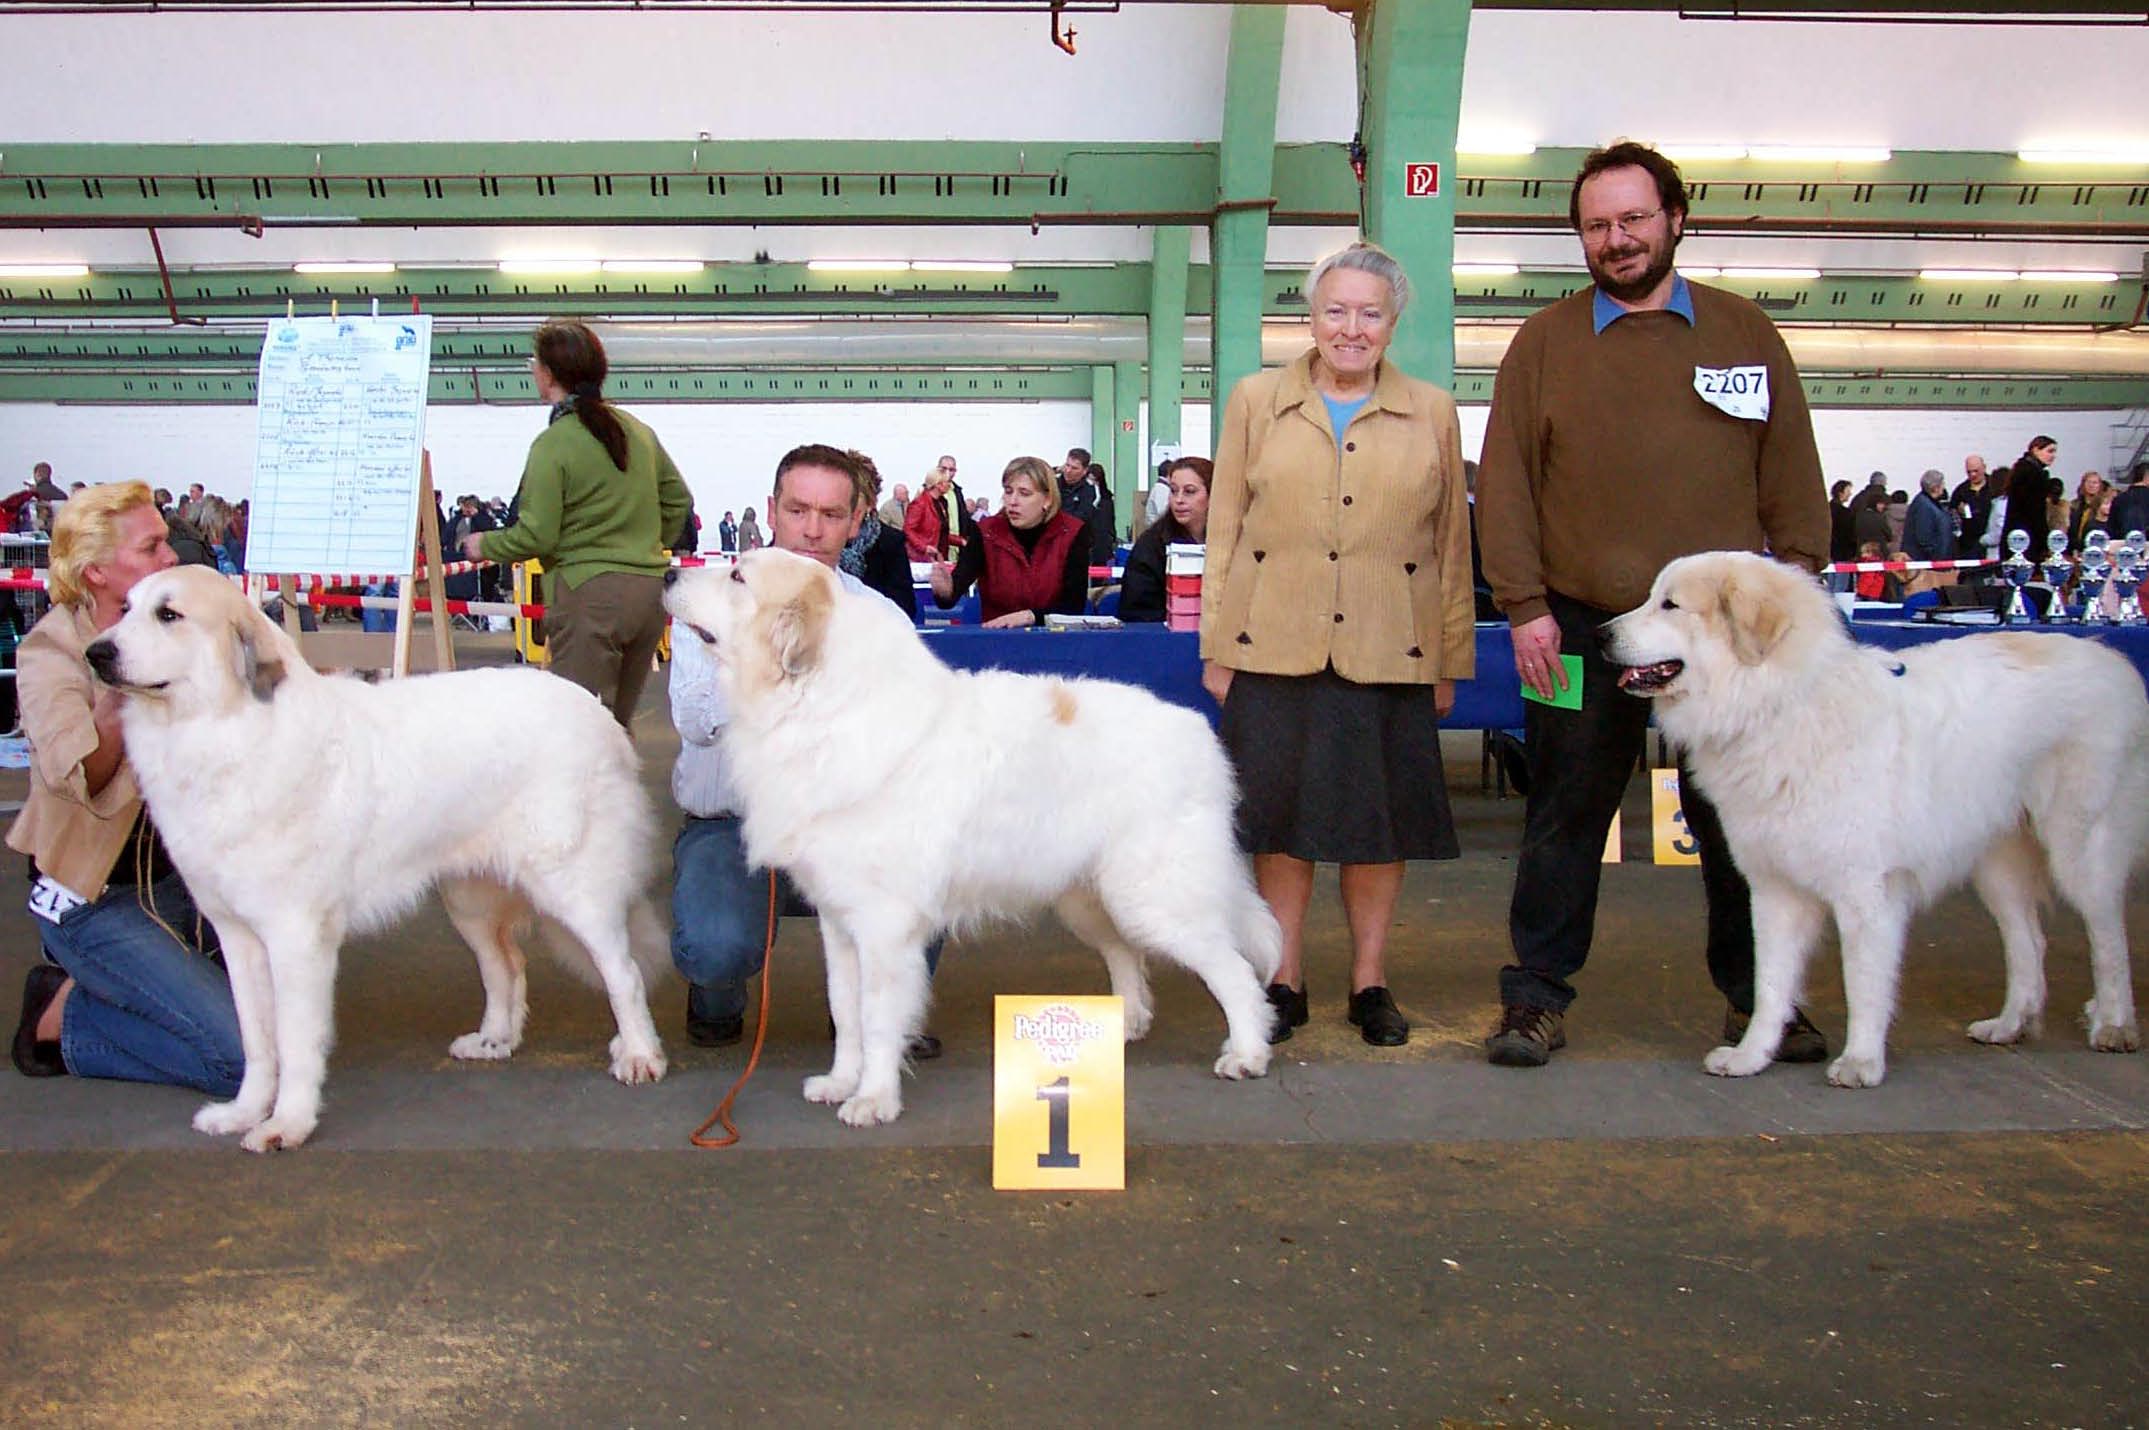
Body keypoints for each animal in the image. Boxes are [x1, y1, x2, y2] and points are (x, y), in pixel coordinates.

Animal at [88, 559, 666, 1152]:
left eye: (169, 615)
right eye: (124, 608)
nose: (96, 653)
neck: (228, 729)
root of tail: (597, 712)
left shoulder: (295, 936)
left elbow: (294, 1042)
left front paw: (287, 1124)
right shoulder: (237, 938)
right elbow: (255, 1040)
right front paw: (244, 1113)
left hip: (572, 887)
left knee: (622, 971)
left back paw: (639, 1055)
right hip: (468, 899)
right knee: (505, 964)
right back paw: (493, 1040)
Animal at [661, 546, 1280, 1126]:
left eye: (738, 575)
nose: (667, 573)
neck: (817, 704)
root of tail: (1197, 730)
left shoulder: (883, 926)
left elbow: (877, 1017)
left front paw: (874, 1100)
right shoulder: (838, 922)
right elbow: (846, 1011)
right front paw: (840, 1082)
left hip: (1155, 899)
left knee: (1234, 973)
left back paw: (1247, 1054)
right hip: (1088, 898)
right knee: (1125, 953)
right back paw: (1125, 1024)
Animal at [1607, 546, 2140, 1083]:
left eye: (1670, 605)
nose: (1601, 634)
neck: (1779, 704)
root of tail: (2110, 659)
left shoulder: (1866, 890)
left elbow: (1862, 981)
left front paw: (1861, 1061)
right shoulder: (1774, 889)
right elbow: (1771, 984)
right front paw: (1751, 1056)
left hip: (2079, 849)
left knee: (2109, 939)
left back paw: (2113, 1025)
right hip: (1998, 863)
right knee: (2028, 941)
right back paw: (2010, 1025)